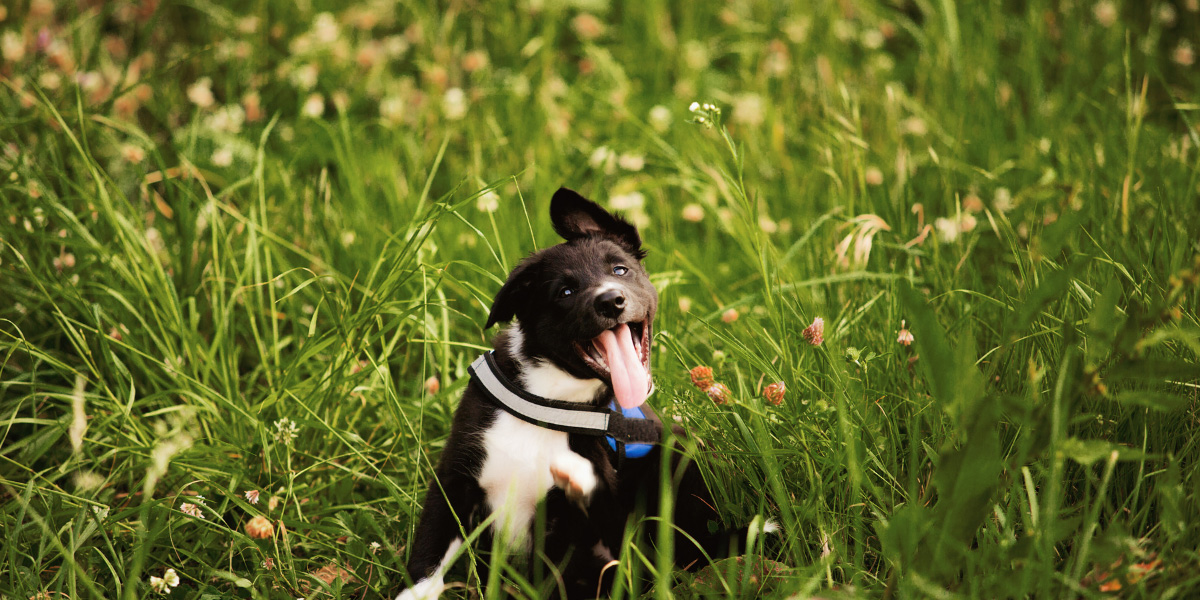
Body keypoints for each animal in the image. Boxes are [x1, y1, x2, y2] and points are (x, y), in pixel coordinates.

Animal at [403, 188, 758, 600]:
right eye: (565, 291)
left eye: (620, 270)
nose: (611, 300)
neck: (552, 399)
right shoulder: (453, 480)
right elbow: (428, 557)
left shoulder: (584, 528)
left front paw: (576, 475)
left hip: (680, 448)